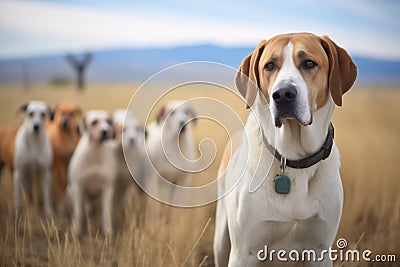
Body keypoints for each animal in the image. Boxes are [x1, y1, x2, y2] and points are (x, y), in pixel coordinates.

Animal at [214, 32, 358, 266]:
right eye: (270, 66)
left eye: (309, 63)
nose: (282, 94)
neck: (293, 158)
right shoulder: (243, 252)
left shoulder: (320, 250)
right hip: (221, 238)